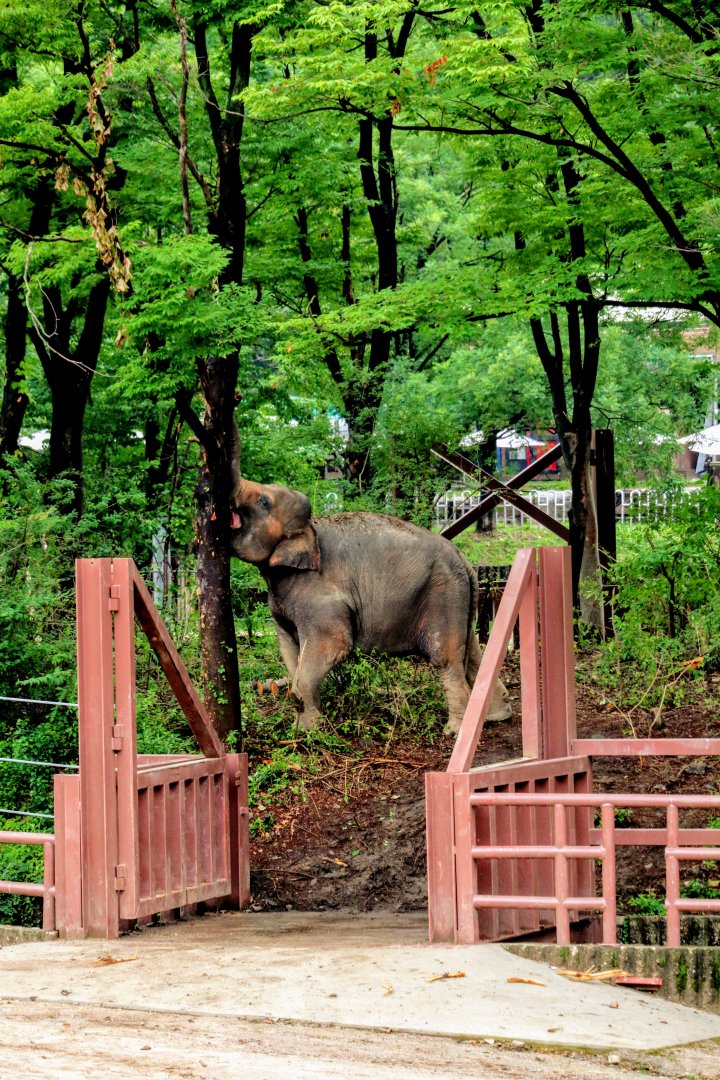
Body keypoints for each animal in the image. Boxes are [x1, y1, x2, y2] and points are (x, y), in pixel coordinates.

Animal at [229, 477, 511, 734]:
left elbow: (333, 646)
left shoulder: (320, 600)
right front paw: (304, 729)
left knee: (446, 660)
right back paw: (496, 717)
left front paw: (308, 733)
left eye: (264, 502)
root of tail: (463, 558)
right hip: (459, 600)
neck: (311, 529)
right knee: (473, 653)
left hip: (444, 597)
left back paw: (455, 731)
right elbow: (290, 652)